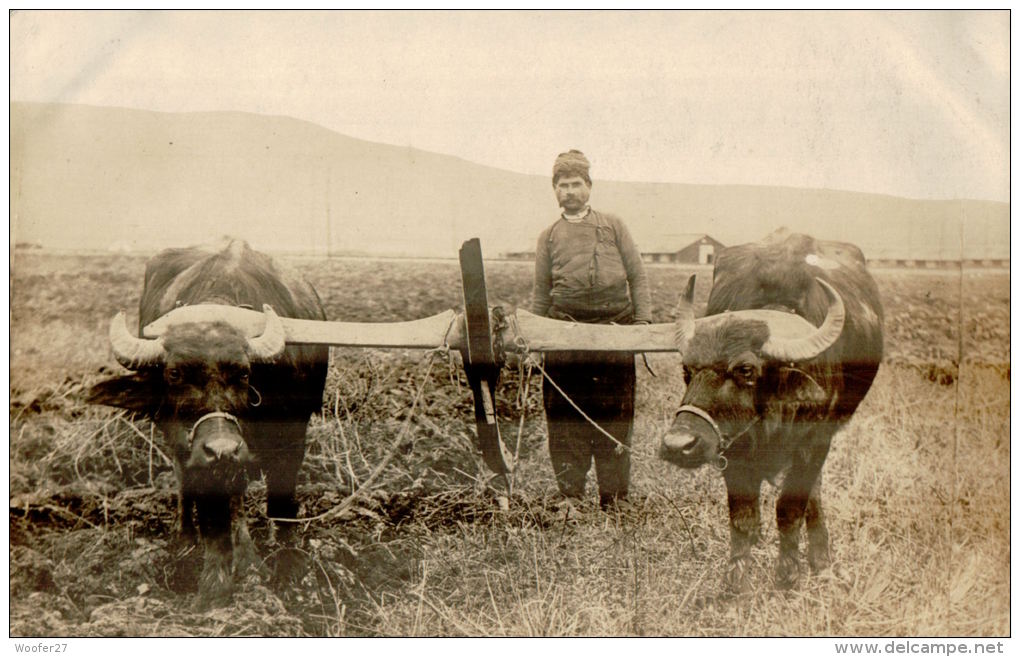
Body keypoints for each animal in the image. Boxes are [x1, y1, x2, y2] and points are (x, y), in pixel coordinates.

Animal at [87, 238, 328, 603]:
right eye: (174, 374)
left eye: (244, 373)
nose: (222, 449)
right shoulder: (195, 448)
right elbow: (212, 513)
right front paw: (215, 586)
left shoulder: (293, 436)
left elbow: (282, 503)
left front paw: (291, 571)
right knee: (187, 481)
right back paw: (188, 539)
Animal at [660, 230, 885, 591]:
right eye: (686, 369)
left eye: (746, 370)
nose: (677, 445)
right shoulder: (732, 447)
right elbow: (742, 516)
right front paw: (736, 581)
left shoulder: (815, 441)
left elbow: (789, 508)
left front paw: (788, 574)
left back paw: (820, 559)